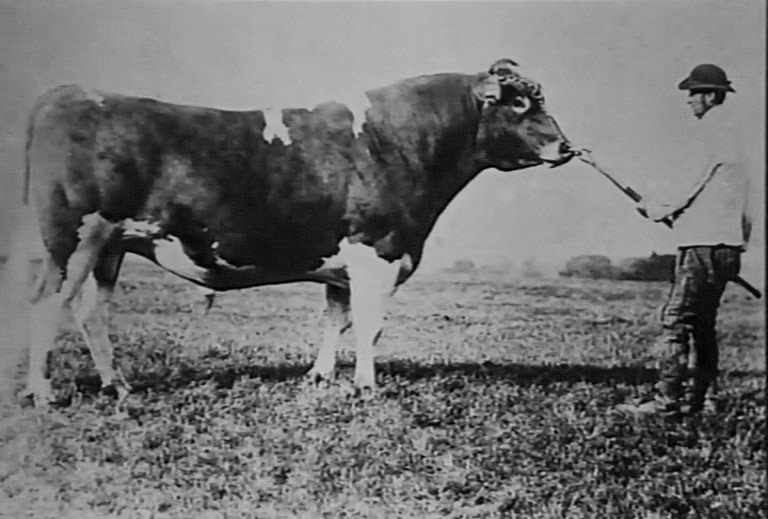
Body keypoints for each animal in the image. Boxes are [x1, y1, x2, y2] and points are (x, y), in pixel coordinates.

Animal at [3, 58, 575, 406]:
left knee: (91, 311)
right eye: (519, 103)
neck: (402, 143)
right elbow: (371, 327)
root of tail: (71, 93)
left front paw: (319, 377)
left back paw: (117, 385)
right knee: (46, 304)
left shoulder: (344, 265)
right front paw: (366, 388)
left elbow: (336, 321)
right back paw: (43, 393)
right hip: (71, 238)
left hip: (111, 244)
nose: (566, 148)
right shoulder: (378, 252)